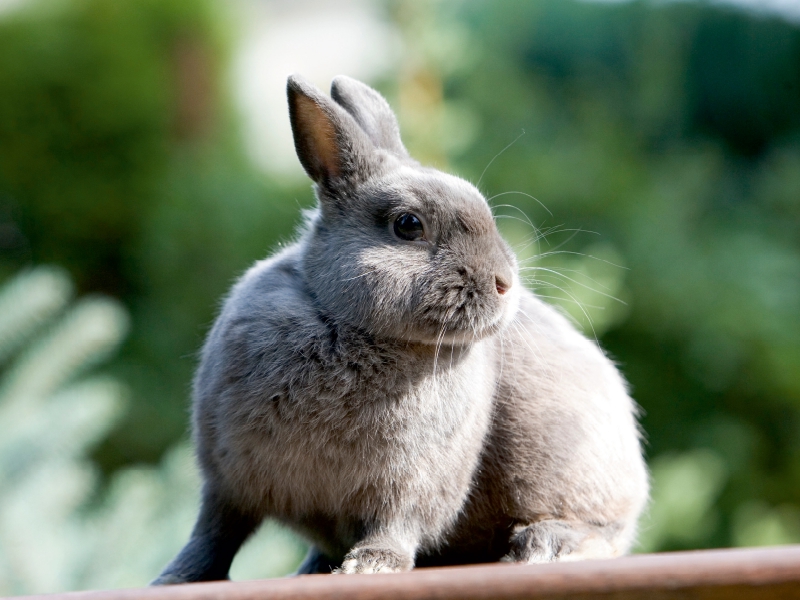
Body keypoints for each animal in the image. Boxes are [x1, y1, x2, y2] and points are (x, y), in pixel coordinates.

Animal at [152, 72, 648, 584]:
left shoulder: (411, 482)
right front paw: (174, 578)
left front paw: (370, 565)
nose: (504, 283)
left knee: (605, 535)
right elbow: (213, 536)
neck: (346, 325)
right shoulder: (226, 480)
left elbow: (395, 522)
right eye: (408, 225)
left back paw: (544, 546)